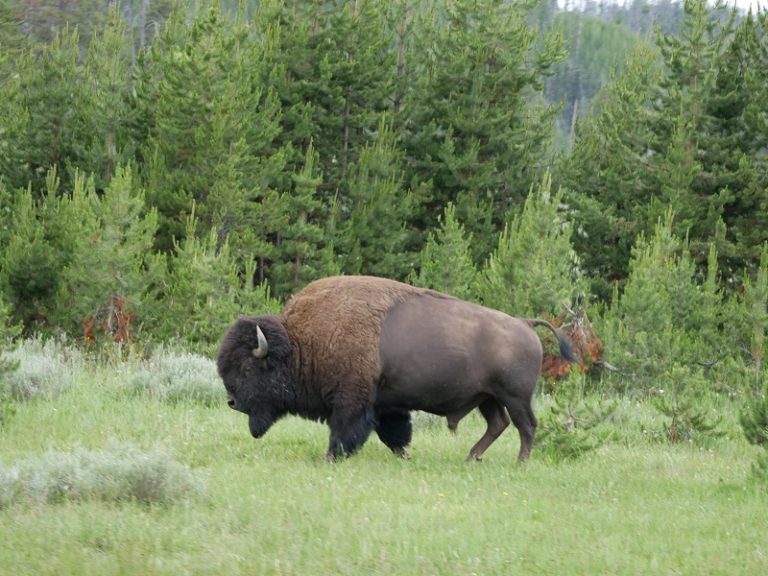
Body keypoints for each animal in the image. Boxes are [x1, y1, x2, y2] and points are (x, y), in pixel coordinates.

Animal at [218, 276, 576, 464]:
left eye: (248, 367)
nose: (232, 402)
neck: (301, 343)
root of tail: (525, 323)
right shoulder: (385, 404)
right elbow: (393, 433)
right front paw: (404, 456)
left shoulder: (352, 402)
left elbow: (343, 432)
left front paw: (331, 458)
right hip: (488, 397)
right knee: (498, 424)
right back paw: (471, 457)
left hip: (515, 396)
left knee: (526, 426)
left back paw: (520, 462)